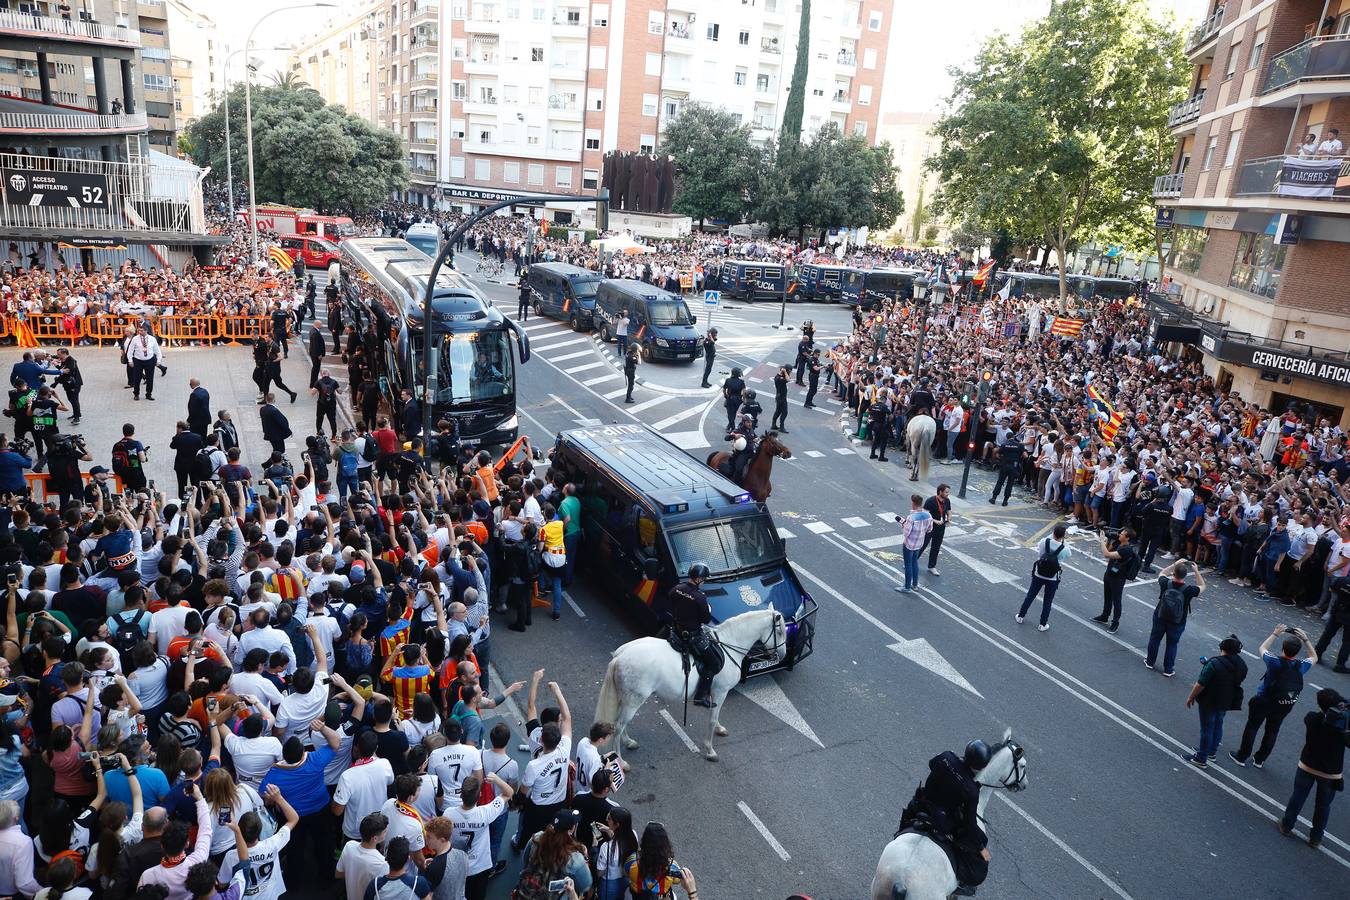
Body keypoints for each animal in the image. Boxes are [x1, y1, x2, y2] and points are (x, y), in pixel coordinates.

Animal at [594, 609, 788, 766]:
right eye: (779, 631)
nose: (783, 654)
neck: (730, 646)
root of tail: (619, 657)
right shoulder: (721, 692)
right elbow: (711, 719)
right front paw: (710, 750)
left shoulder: (717, 693)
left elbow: (715, 715)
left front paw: (719, 729)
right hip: (634, 700)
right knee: (618, 726)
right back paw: (621, 761)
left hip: (627, 699)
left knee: (620, 724)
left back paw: (629, 742)